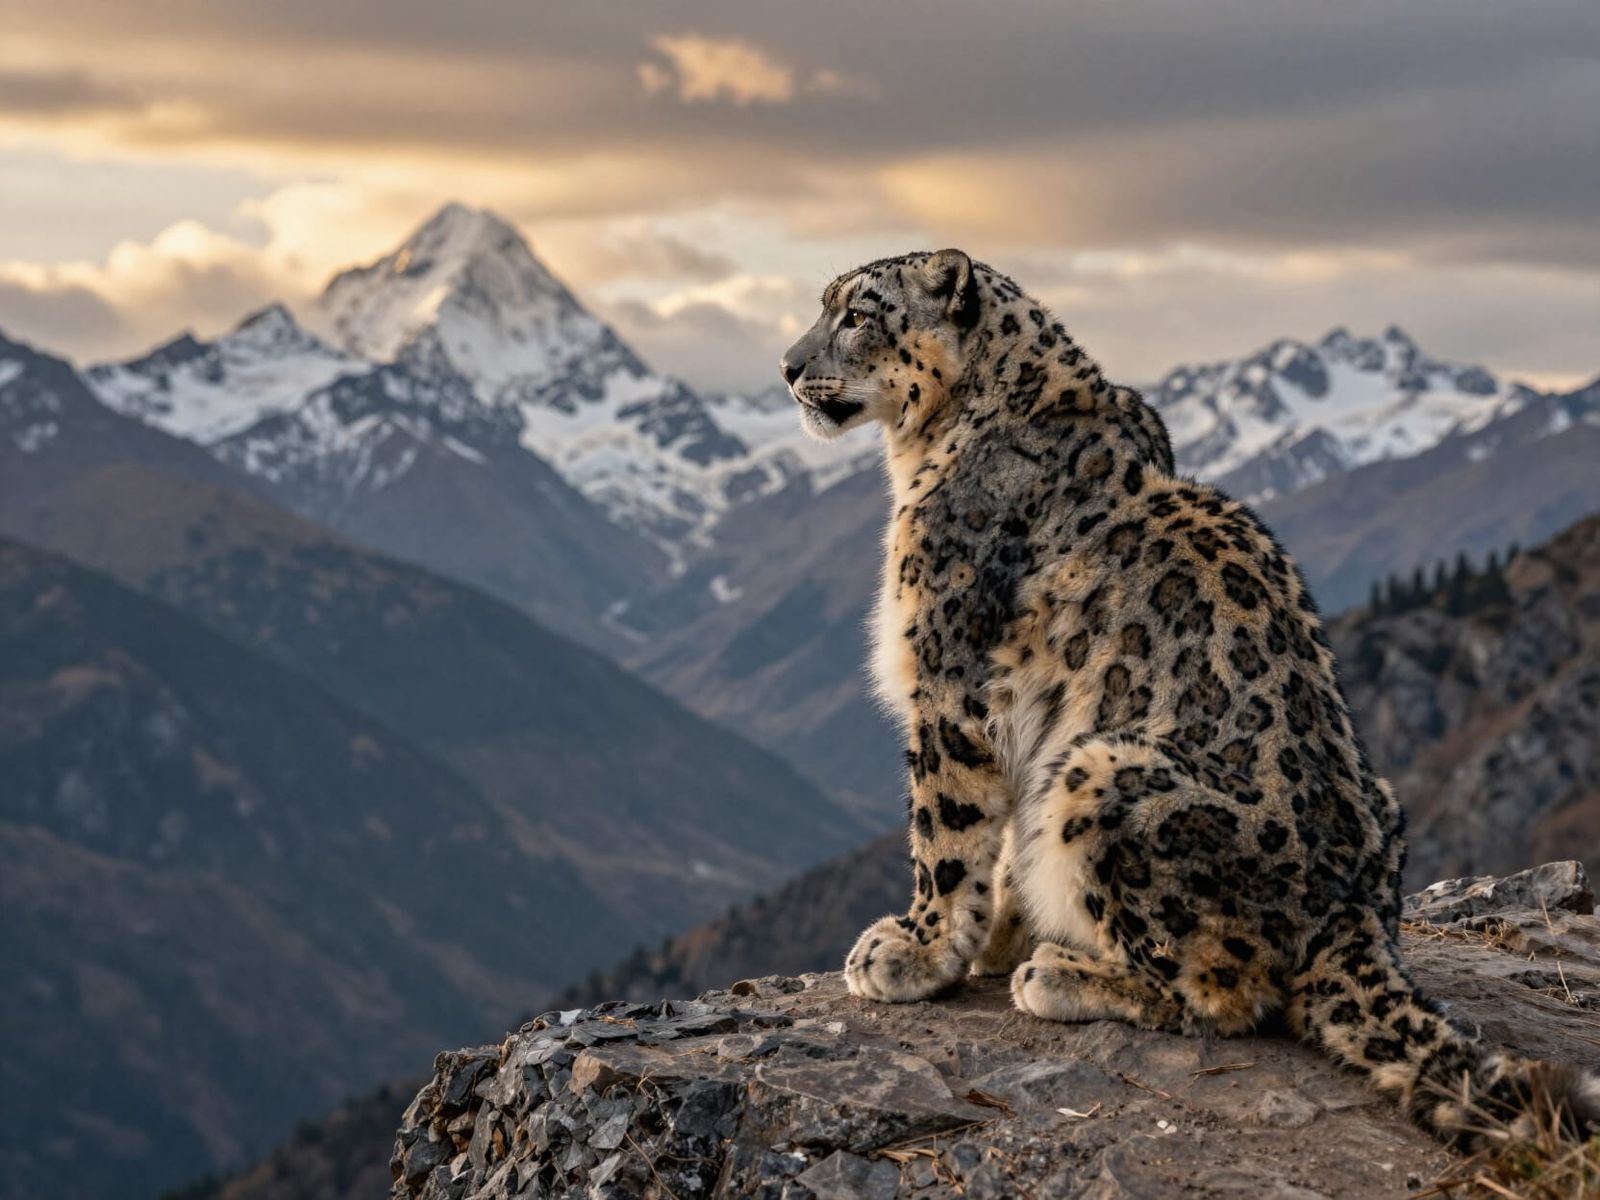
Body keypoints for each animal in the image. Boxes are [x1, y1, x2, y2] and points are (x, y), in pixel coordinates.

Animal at [778, 248, 1600, 1149]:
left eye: (859, 314)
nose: (786, 366)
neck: (926, 445)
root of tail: (1352, 908)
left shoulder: (949, 682)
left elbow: (946, 834)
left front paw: (917, 954)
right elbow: (995, 847)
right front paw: (990, 936)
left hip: (1102, 768)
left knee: (1219, 993)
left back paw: (1062, 973)